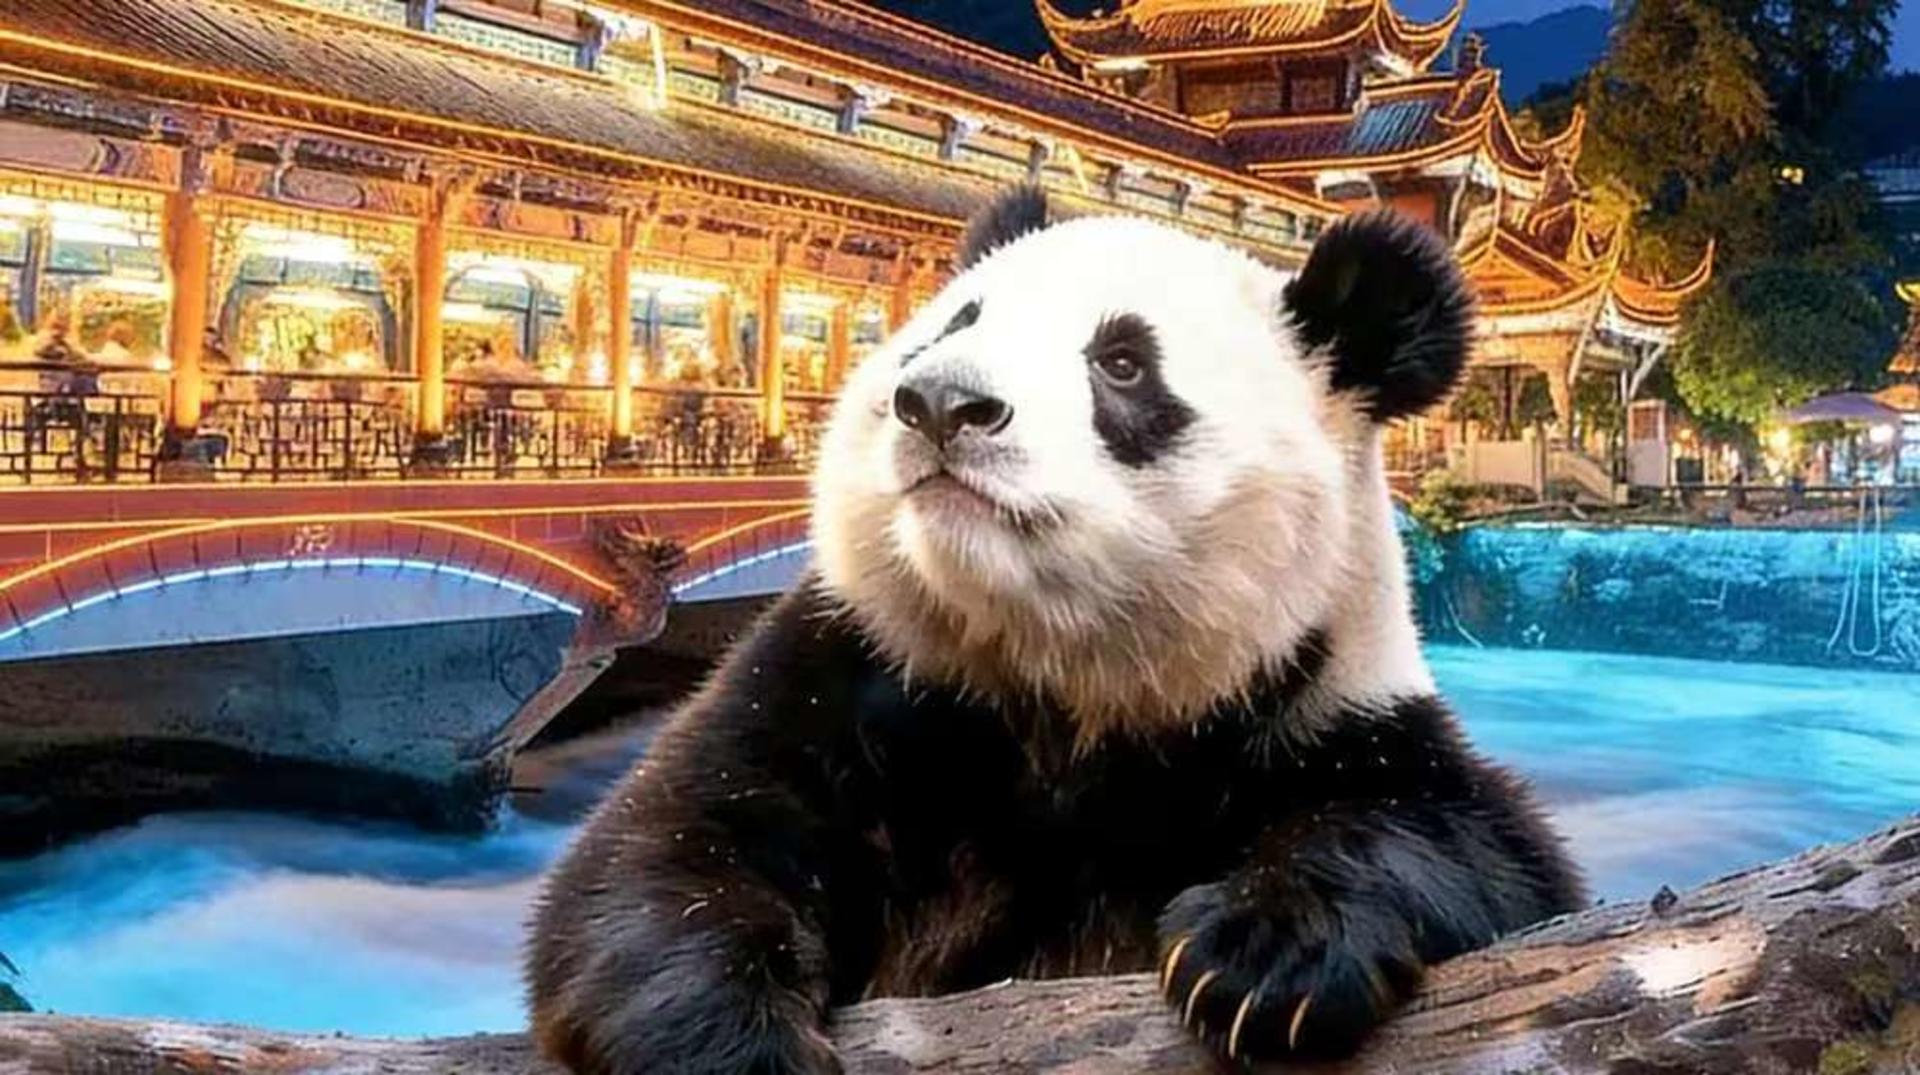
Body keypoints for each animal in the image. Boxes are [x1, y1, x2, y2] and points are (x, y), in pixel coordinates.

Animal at [526, 186, 1583, 1075]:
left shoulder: (1318, 707)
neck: (1063, 680)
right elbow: (663, 854)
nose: (940, 402)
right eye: (956, 324)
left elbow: (1478, 849)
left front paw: (1262, 953)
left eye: (1121, 361)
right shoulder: (852, 676)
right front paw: (737, 1044)